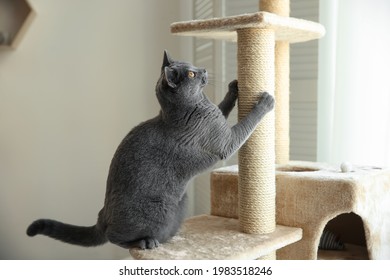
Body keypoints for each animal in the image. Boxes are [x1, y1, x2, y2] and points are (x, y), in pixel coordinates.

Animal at [25, 50, 274, 249]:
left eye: (192, 66)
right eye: (190, 75)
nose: (202, 69)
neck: (194, 108)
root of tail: (102, 216)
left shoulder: (217, 118)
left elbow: (223, 107)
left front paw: (234, 87)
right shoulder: (225, 142)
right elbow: (246, 124)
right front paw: (265, 102)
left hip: (181, 202)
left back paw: (168, 237)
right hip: (156, 210)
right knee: (113, 237)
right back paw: (146, 243)